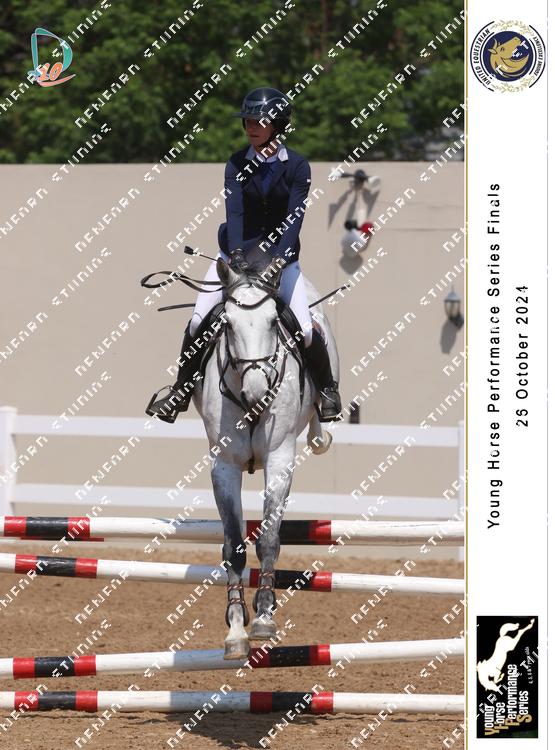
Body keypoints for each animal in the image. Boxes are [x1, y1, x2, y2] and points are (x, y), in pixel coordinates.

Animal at [191, 257, 337, 659]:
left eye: (274, 322)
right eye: (227, 323)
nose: (257, 394)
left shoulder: (279, 458)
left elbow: (269, 538)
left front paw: (264, 618)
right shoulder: (224, 466)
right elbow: (233, 545)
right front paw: (236, 630)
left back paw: (323, 426)